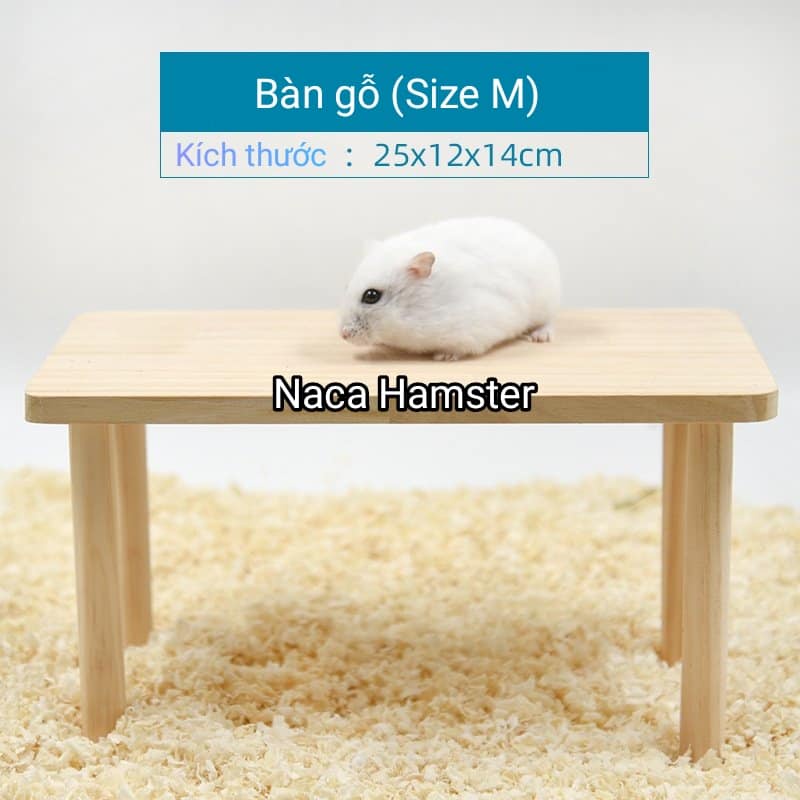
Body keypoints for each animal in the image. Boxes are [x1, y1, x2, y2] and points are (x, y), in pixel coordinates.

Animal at [340, 217, 560, 360]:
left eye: (371, 296)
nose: (343, 335)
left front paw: (442, 356)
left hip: (545, 304)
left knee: (548, 321)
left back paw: (539, 336)